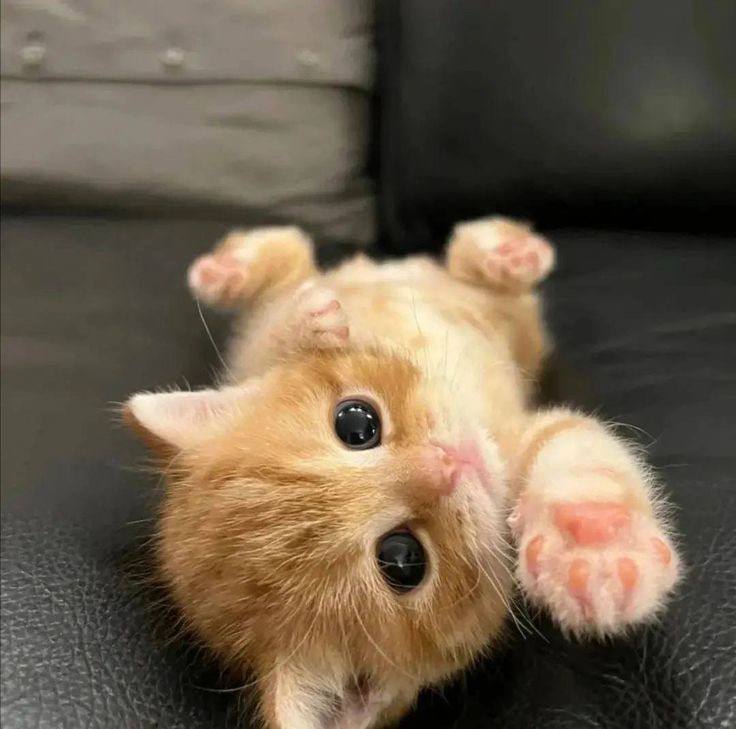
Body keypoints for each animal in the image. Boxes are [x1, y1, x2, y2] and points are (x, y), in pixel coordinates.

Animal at [124, 217, 680, 729]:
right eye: (402, 560)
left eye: (356, 423)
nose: (449, 460)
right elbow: (565, 440)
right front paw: (591, 551)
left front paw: (596, 543)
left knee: (308, 262)